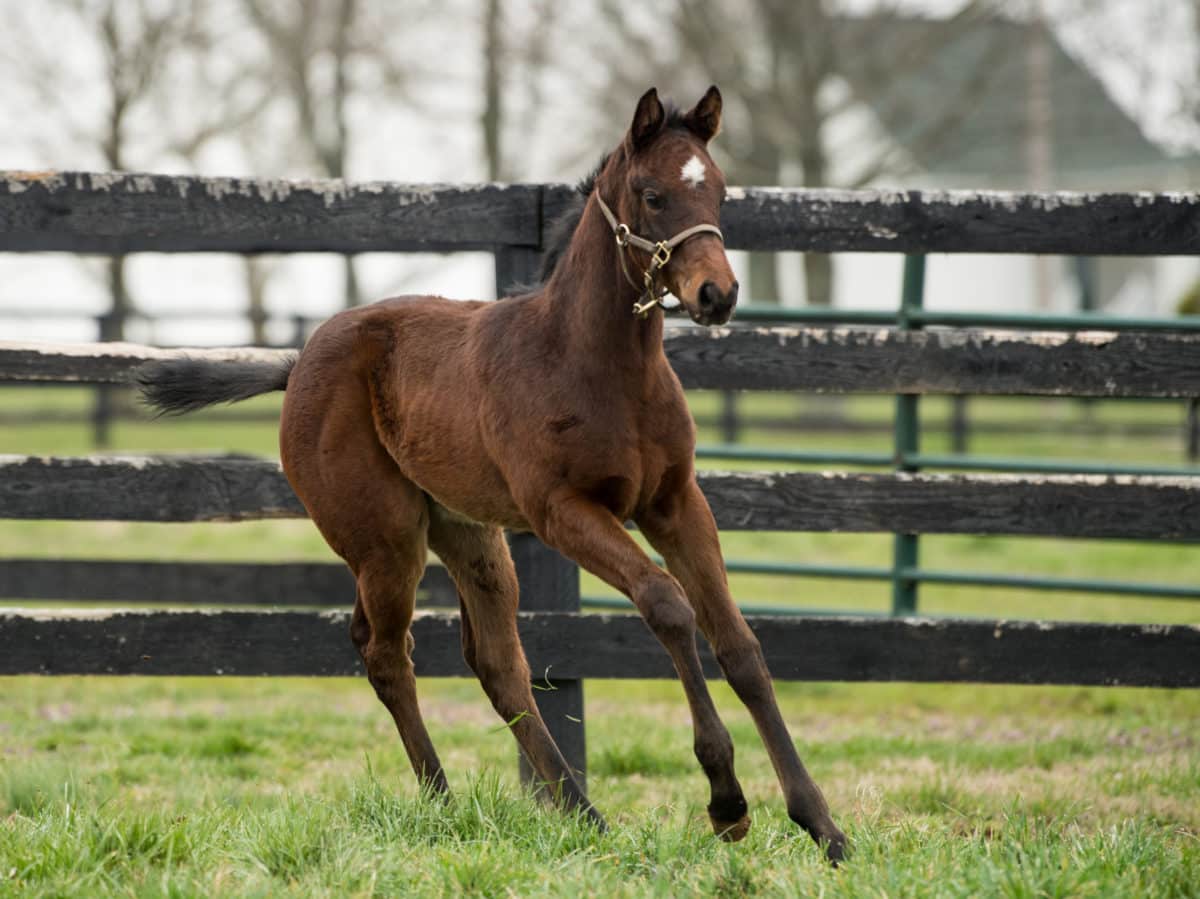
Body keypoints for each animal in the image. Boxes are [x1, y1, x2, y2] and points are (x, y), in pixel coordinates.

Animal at [138, 85, 844, 864]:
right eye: (652, 194)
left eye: (718, 190)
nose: (717, 294)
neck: (598, 365)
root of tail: (297, 364)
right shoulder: (563, 510)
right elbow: (667, 604)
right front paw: (727, 803)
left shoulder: (674, 502)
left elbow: (738, 643)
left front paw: (823, 825)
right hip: (387, 539)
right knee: (386, 652)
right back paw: (444, 802)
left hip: (469, 534)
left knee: (498, 664)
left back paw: (585, 816)